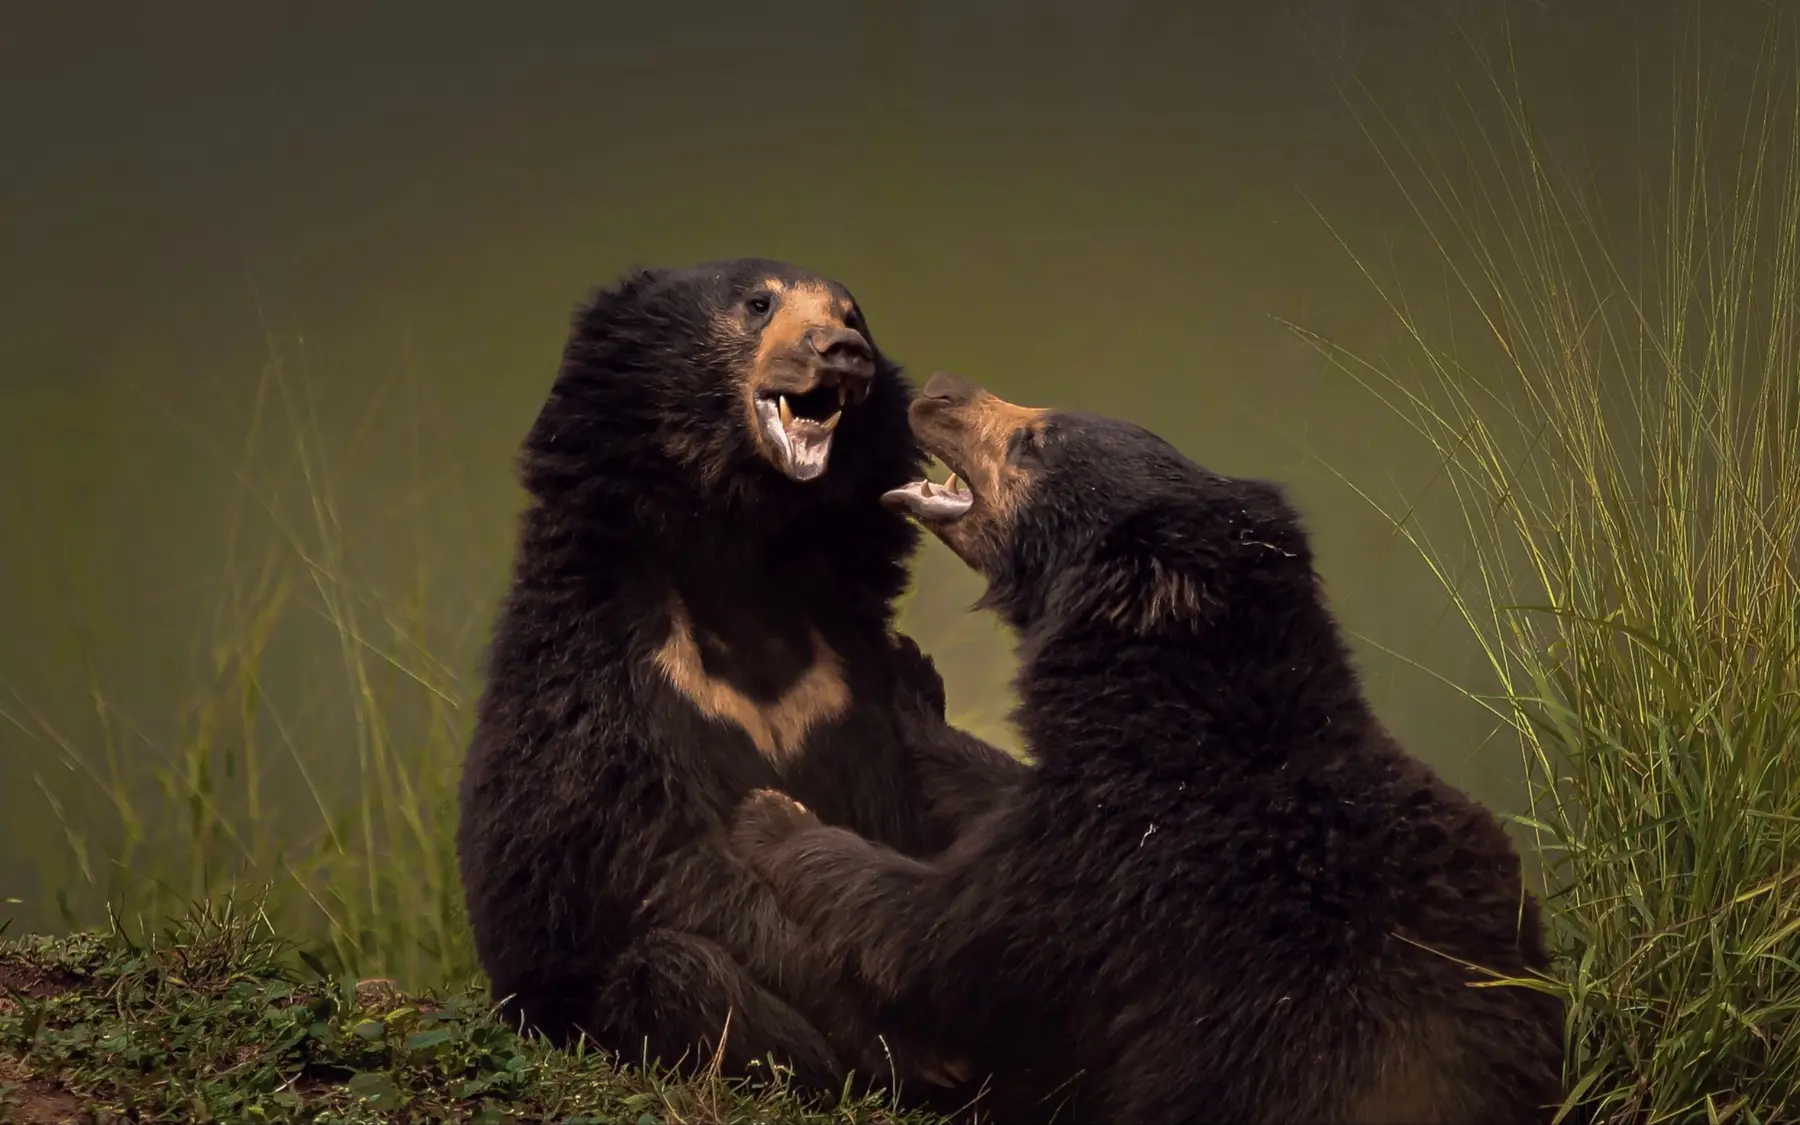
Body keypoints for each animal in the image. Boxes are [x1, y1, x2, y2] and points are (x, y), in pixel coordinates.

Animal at [455, 264, 1029, 1095]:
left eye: (852, 313)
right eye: (758, 303)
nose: (842, 351)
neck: (747, 553)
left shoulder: (846, 675)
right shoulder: (607, 672)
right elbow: (659, 855)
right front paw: (916, 1039)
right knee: (677, 973)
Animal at [727, 371, 1568, 1124]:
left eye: (1037, 439)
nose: (936, 389)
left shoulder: (1121, 867)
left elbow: (938, 931)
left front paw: (774, 815)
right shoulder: (1088, 797)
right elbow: (992, 790)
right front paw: (910, 682)